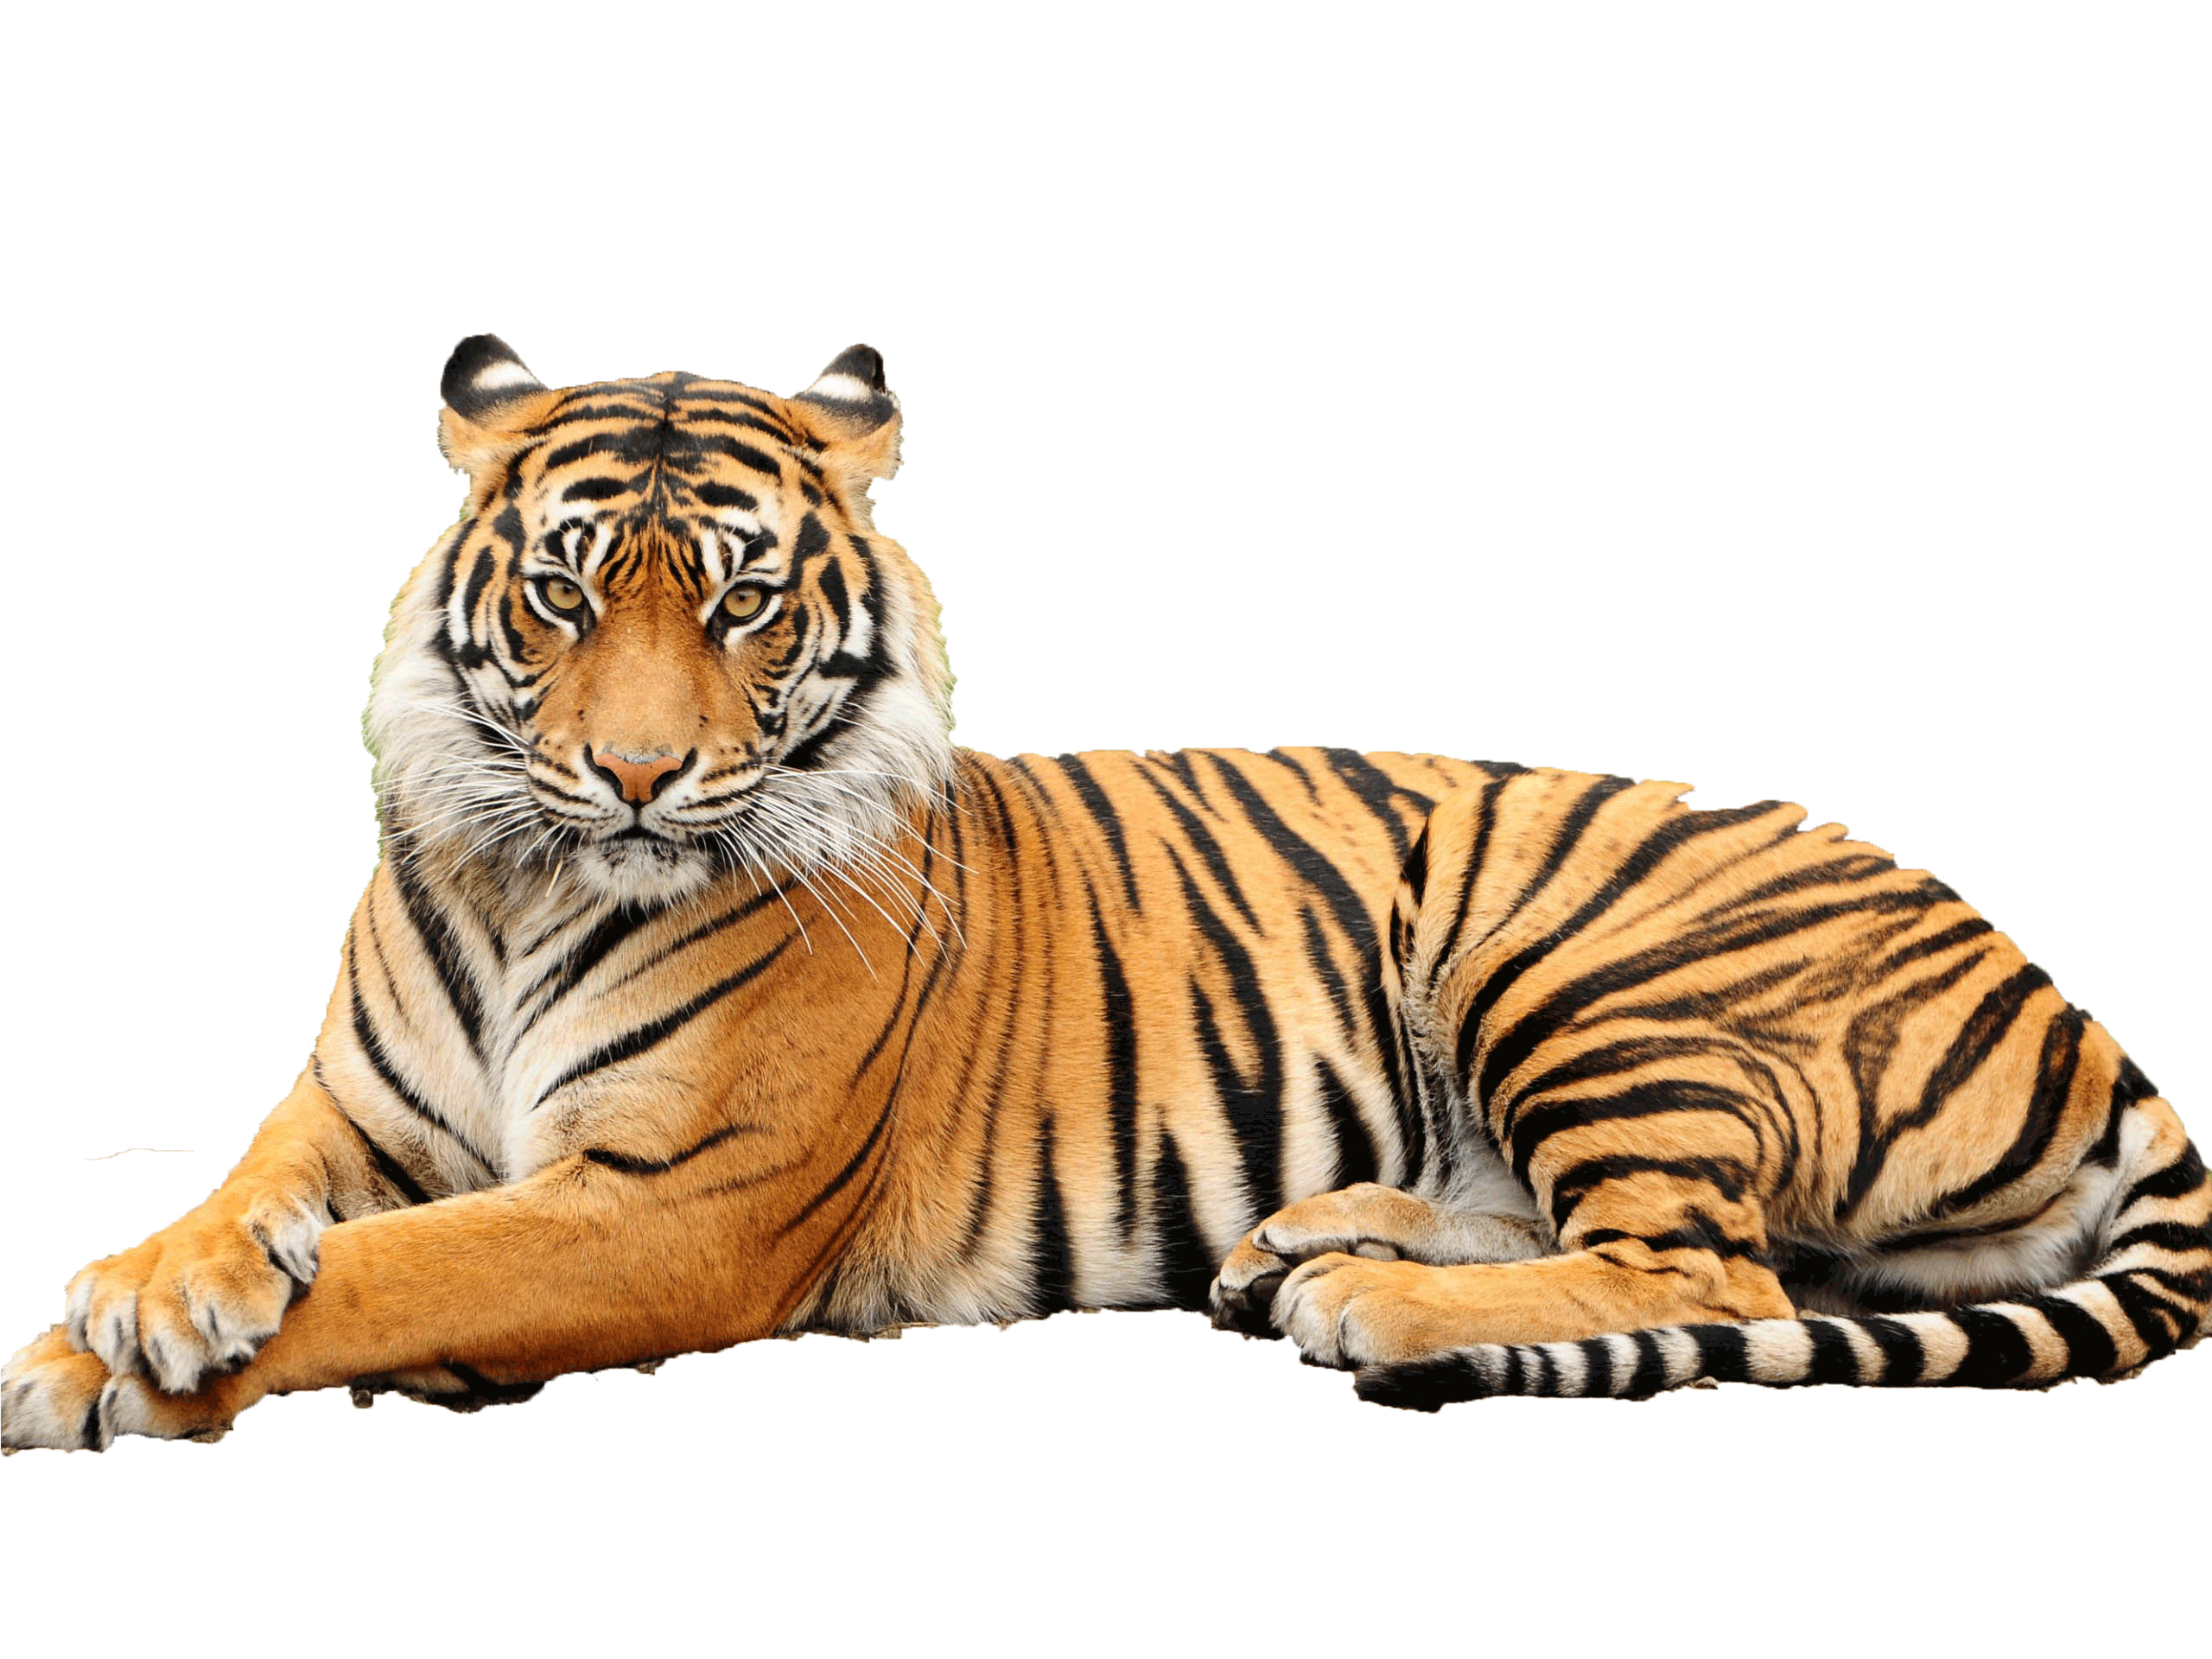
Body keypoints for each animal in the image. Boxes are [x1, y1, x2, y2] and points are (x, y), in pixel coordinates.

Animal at [3, 335, 2205, 1451]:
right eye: (562, 594)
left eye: (735, 603)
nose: (635, 774)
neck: (531, 876)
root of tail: (2067, 1000)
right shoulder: (354, 1111)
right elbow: (257, 1200)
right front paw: (142, 1294)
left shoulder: (668, 1207)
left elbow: (400, 1272)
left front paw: (103, 1362)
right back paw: (1304, 1241)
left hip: (1581, 956)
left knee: (1714, 1271)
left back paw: (1365, 1295)